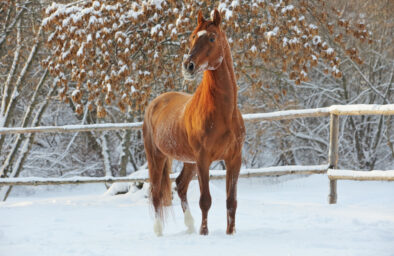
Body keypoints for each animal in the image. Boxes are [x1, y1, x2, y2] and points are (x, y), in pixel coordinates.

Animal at [143, 8, 245, 236]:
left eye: (212, 37)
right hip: (156, 157)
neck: (223, 114)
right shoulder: (203, 159)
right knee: (156, 193)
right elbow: (205, 200)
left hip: (188, 161)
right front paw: (204, 232)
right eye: (192, 36)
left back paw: (189, 226)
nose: (188, 66)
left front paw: (231, 232)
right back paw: (158, 231)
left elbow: (232, 201)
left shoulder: (234, 159)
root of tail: (154, 103)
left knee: (180, 185)